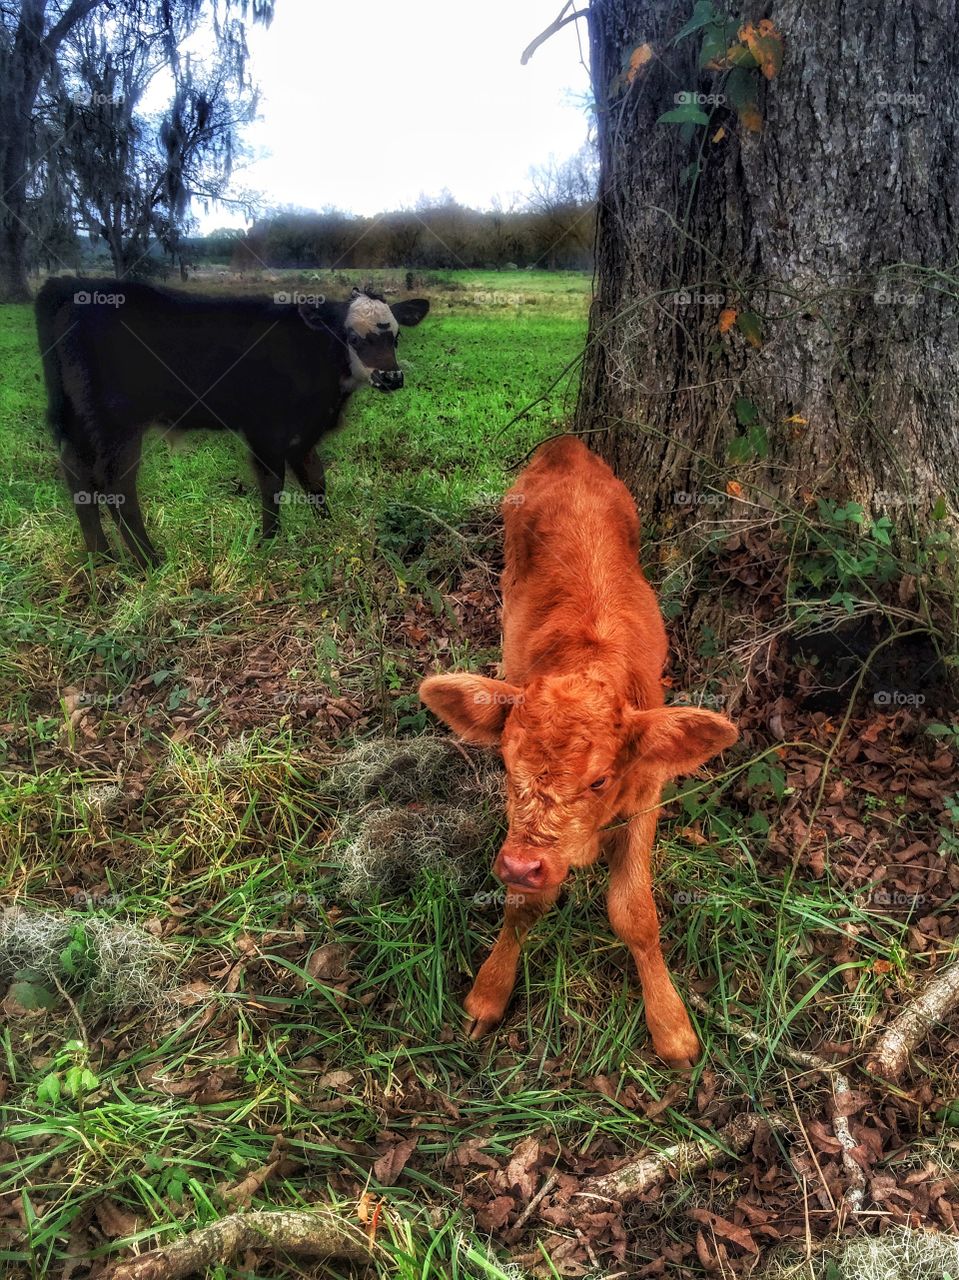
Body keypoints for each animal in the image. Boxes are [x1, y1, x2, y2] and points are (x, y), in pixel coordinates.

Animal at [419, 435, 742, 1064]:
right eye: (507, 766)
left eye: (598, 781)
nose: (521, 864)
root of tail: (567, 446)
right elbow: (524, 903)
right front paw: (490, 991)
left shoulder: (646, 794)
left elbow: (635, 914)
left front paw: (671, 1025)